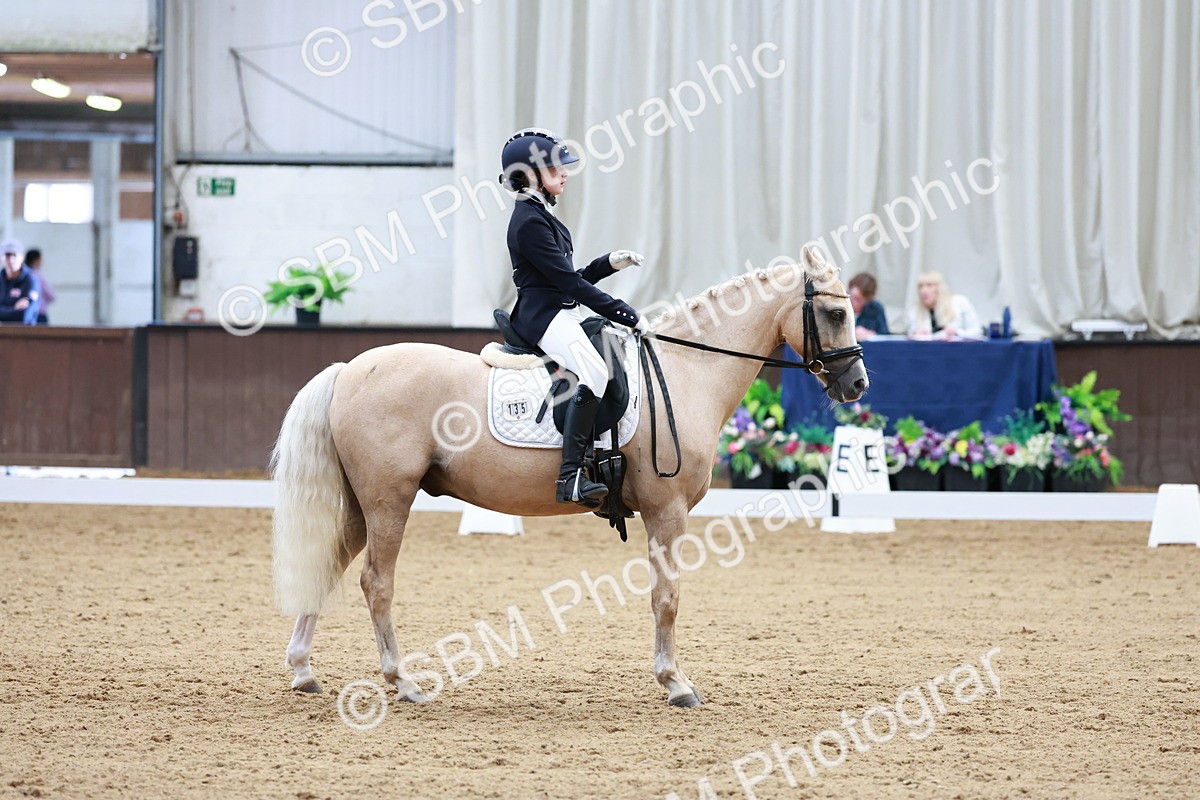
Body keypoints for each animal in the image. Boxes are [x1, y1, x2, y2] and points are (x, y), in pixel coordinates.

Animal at [271, 245, 868, 707]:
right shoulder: (667, 511)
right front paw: (675, 683)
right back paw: (402, 681)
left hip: (360, 502)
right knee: (377, 582)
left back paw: (303, 670)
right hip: (388, 500)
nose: (858, 384)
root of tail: (349, 370)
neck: (687, 372)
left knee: (329, 564)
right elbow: (667, 596)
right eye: (835, 314)